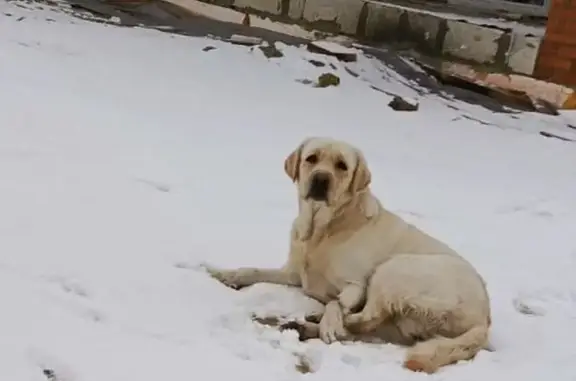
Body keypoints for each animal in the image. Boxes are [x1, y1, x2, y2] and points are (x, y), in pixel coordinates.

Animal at [205, 136, 492, 372]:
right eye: (311, 158)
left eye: (342, 165)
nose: (321, 179)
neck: (322, 230)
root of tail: (484, 320)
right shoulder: (294, 274)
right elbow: (251, 269)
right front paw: (225, 274)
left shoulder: (357, 285)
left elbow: (337, 303)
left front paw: (330, 321)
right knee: (366, 326)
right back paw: (305, 325)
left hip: (394, 269)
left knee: (366, 318)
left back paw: (316, 321)